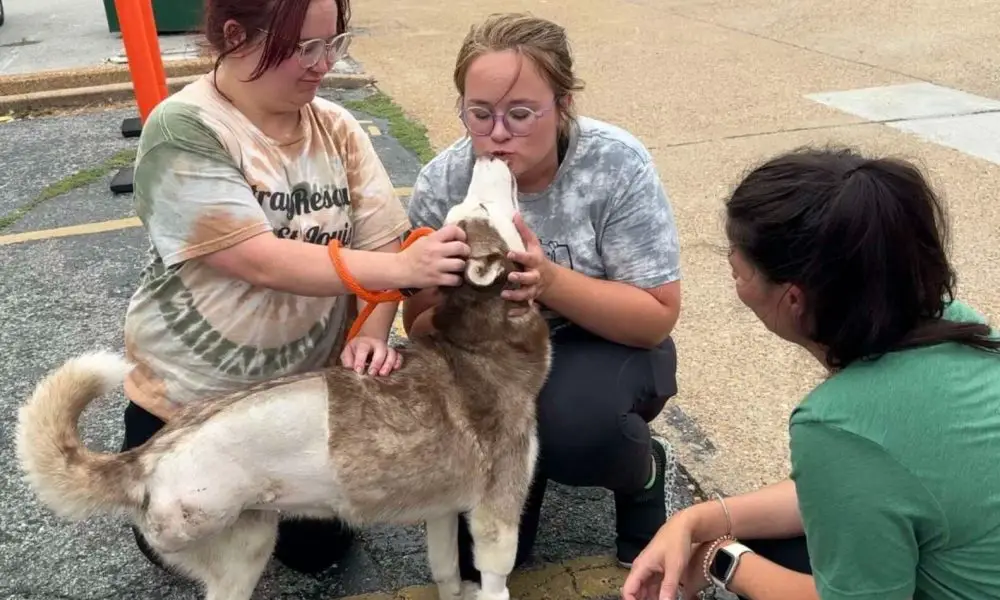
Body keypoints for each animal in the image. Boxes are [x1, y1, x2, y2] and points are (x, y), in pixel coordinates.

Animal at [11, 157, 552, 600]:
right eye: (478, 203)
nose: (491, 152)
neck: (478, 341)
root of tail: (146, 457)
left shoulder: (441, 510)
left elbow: (445, 571)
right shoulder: (497, 514)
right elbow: (496, 579)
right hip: (240, 544)